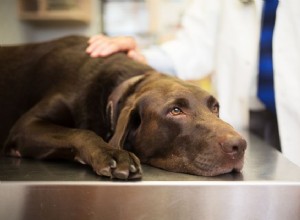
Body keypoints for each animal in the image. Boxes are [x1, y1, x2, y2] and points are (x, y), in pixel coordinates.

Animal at [0, 36, 246, 180]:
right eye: (176, 111)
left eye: (215, 108)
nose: (240, 145)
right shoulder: (25, 127)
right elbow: (82, 133)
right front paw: (112, 153)